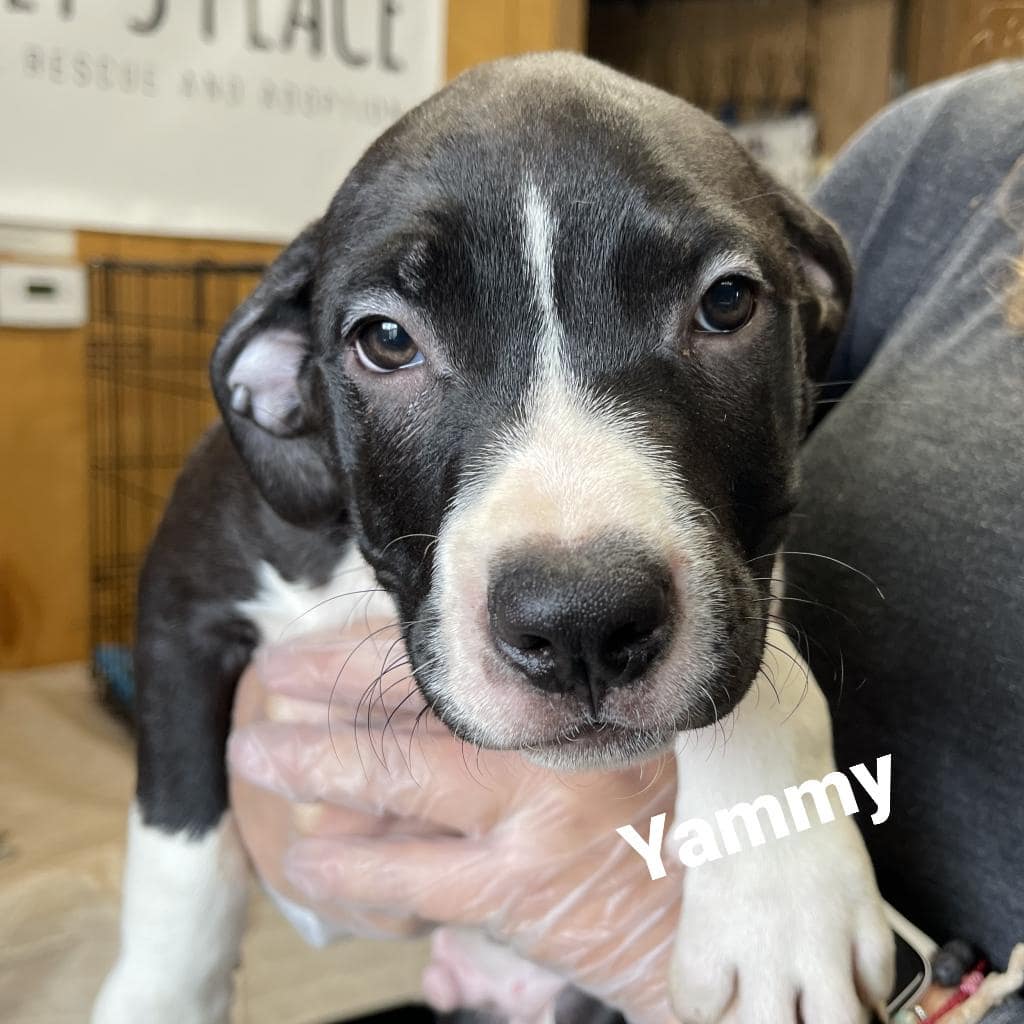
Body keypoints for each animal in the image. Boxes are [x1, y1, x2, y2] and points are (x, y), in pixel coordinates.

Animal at [97, 54, 897, 1024]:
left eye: (728, 301)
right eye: (385, 339)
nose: (582, 624)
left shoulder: (745, 576)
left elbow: (776, 681)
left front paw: (781, 909)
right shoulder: (180, 602)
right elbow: (177, 837)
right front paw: (159, 992)